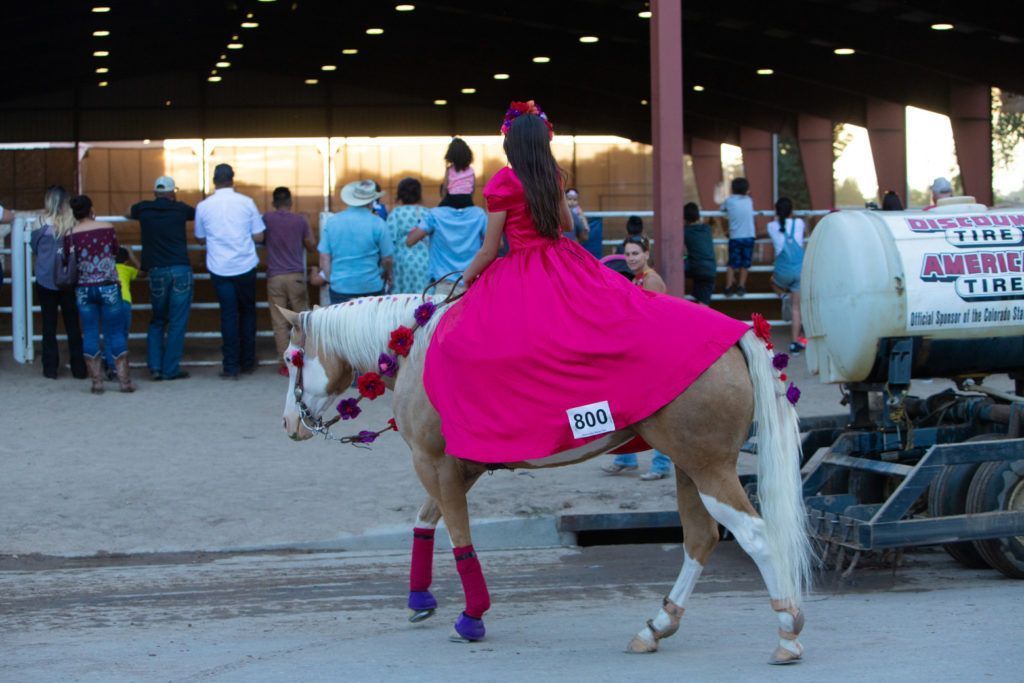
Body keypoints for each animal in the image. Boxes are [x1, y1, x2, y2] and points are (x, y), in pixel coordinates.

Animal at [276, 296, 811, 663]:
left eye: (289, 360)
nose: (289, 423)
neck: (415, 350)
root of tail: (734, 331)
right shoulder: (455, 469)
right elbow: (426, 521)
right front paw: (420, 597)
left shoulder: (435, 464)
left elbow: (459, 538)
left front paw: (472, 616)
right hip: (689, 465)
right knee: (701, 538)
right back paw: (658, 626)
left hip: (707, 467)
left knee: (756, 536)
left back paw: (787, 629)